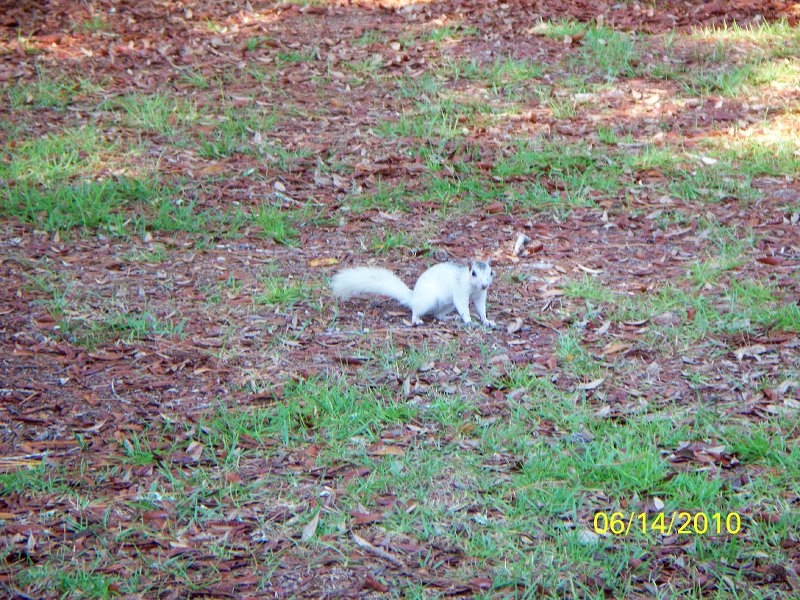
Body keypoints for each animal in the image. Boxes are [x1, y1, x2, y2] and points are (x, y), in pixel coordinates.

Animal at [331, 261, 496, 327]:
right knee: (416, 312)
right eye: (473, 273)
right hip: (428, 301)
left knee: (438, 314)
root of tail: (414, 298)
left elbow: (481, 308)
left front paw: (487, 321)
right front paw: (468, 321)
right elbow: (462, 306)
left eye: (491, 272)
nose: (485, 285)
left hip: (447, 305)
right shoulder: (460, 291)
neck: (474, 288)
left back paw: (449, 317)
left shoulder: (480, 296)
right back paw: (417, 320)